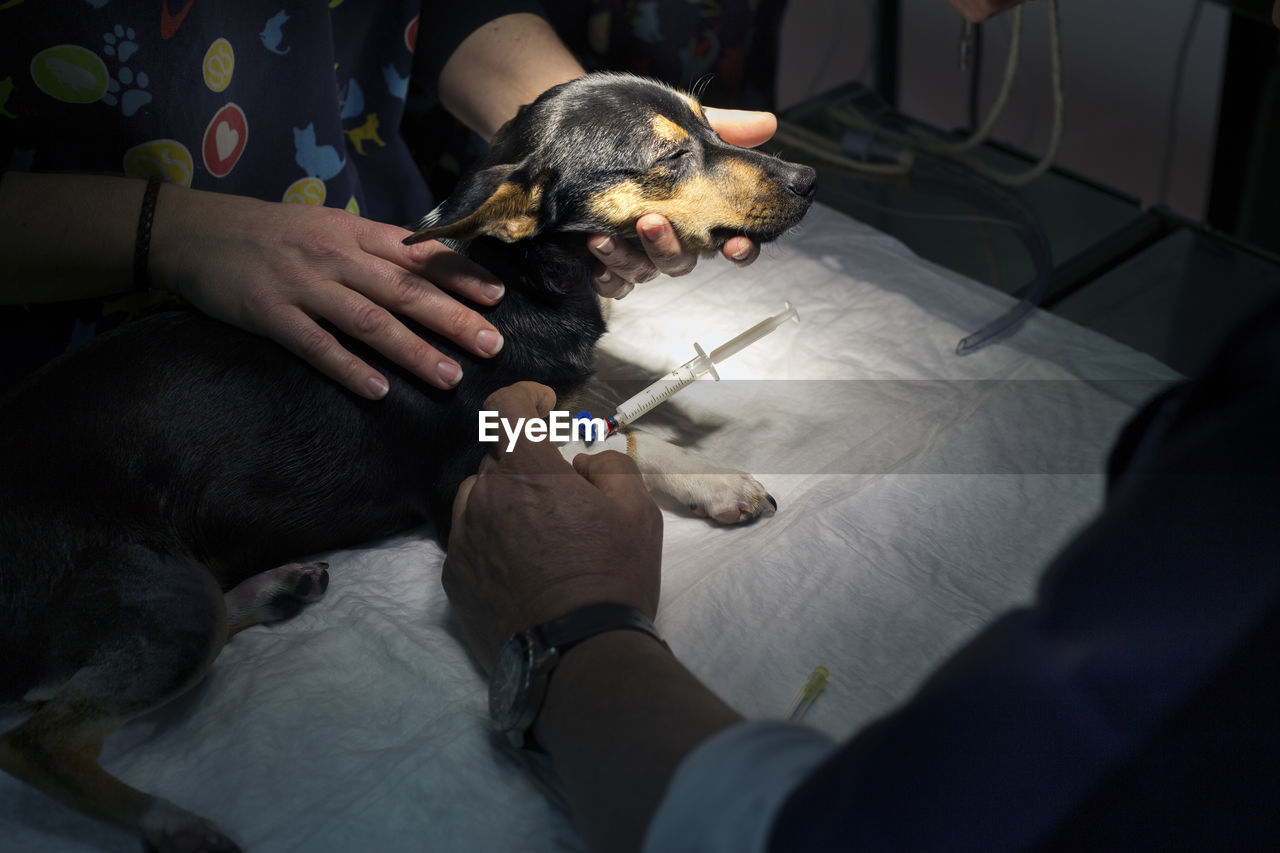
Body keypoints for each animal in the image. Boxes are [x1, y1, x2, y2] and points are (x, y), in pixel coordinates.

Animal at [0, 74, 814, 850]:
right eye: (669, 156)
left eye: (710, 123)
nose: (807, 177)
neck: (517, 275)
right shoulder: (471, 470)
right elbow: (614, 434)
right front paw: (715, 480)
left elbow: (610, 406)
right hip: (166, 607)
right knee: (36, 741)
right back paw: (174, 822)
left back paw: (274, 591)